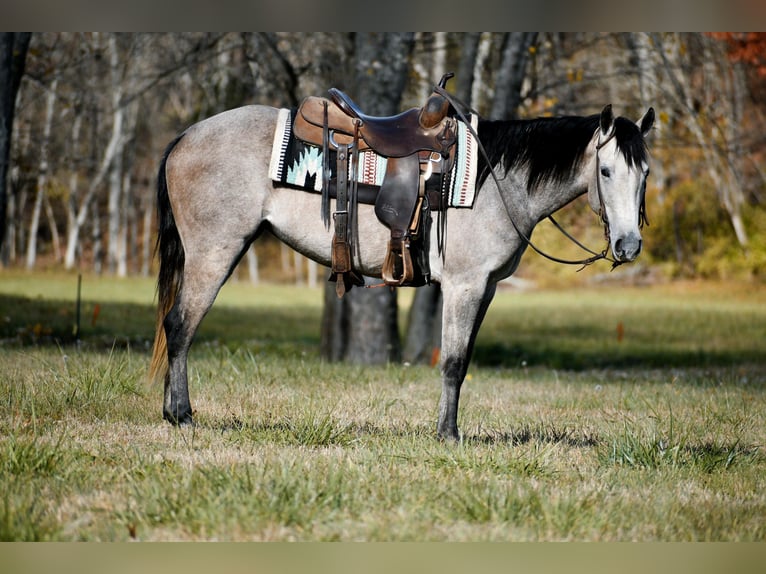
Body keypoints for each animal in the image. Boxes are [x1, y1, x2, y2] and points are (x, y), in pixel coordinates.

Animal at [152, 101, 660, 444]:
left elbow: (463, 361)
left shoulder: (486, 289)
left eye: (646, 173)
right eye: (607, 171)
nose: (629, 245)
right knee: (179, 326)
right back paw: (181, 415)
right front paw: (448, 435)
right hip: (214, 252)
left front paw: (448, 429)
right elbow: (452, 362)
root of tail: (186, 136)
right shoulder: (463, 286)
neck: (494, 180)